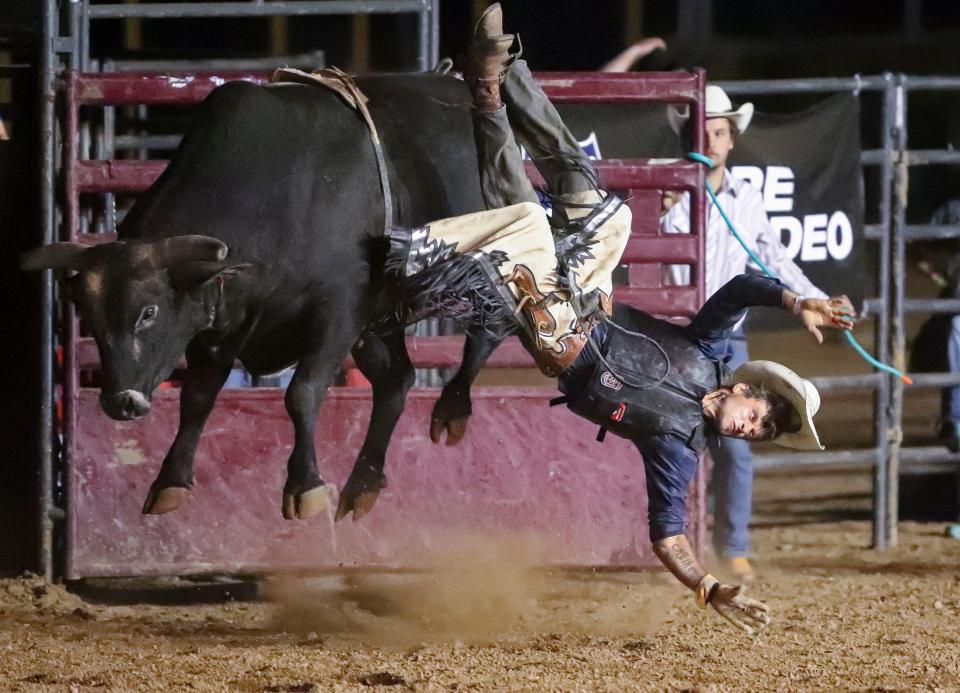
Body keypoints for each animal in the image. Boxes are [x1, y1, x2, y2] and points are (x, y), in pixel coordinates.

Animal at [24, 74, 510, 520]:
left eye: (148, 312)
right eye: (88, 316)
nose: (120, 403)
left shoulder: (338, 312)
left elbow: (302, 393)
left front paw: (304, 485)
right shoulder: (221, 319)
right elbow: (197, 396)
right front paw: (170, 481)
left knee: (490, 329)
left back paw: (452, 408)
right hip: (380, 323)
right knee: (396, 382)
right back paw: (363, 485)